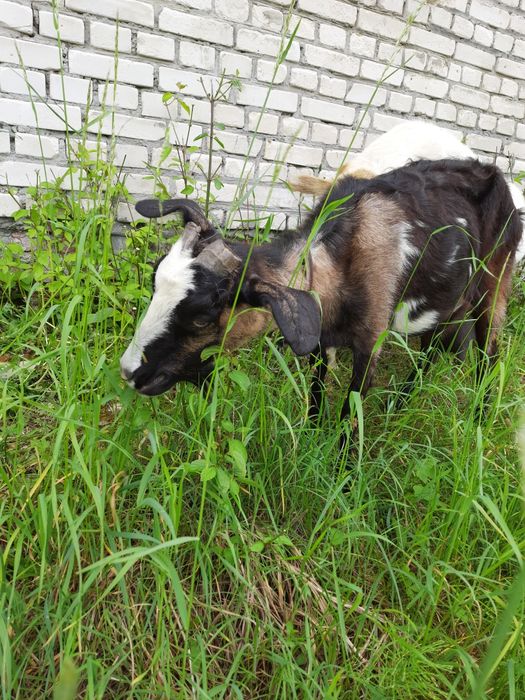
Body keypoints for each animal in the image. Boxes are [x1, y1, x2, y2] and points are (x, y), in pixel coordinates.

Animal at [120, 159, 522, 433]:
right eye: (155, 282)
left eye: (203, 317)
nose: (129, 372)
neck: (339, 263)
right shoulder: (320, 338)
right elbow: (315, 395)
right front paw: (312, 439)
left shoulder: (370, 341)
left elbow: (350, 415)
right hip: (451, 299)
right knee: (435, 345)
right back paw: (400, 404)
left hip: (494, 284)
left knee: (489, 353)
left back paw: (480, 419)